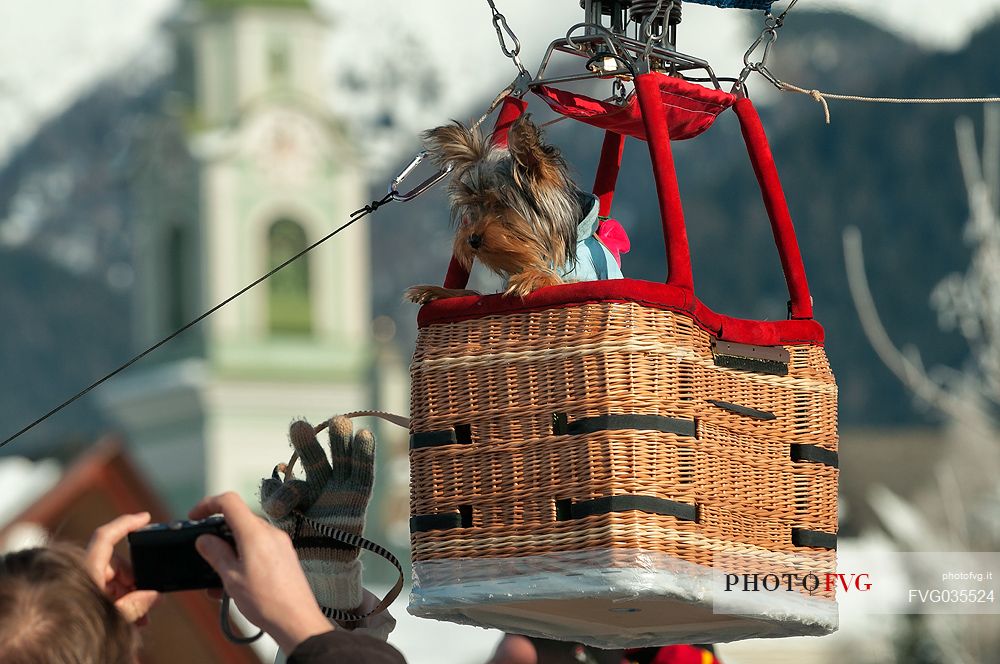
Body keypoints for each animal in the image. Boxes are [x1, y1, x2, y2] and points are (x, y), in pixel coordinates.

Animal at [404, 115, 624, 304]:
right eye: (473, 206)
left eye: (500, 205)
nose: (472, 239)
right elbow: (474, 293)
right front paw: (437, 291)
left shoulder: (584, 279)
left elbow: (562, 281)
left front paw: (533, 277)